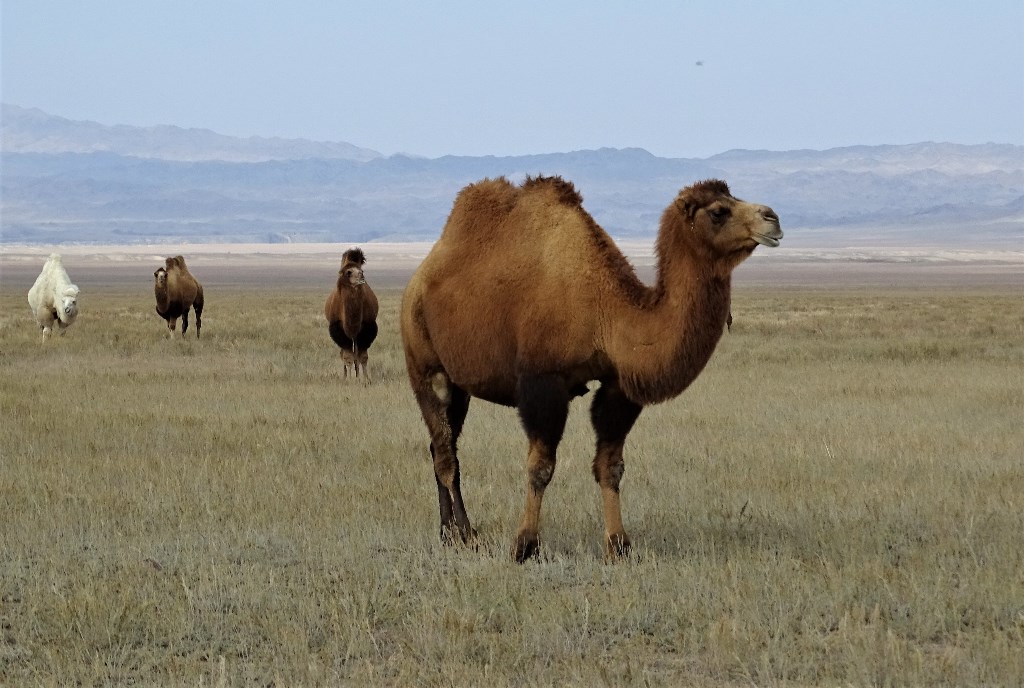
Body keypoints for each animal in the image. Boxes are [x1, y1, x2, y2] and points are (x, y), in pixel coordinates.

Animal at [323, 247, 380, 378]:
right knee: (345, 354)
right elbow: (348, 357)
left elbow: (362, 357)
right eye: (348, 272)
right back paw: (345, 376)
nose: (361, 276)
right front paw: (349, 379)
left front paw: (365, 379)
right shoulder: (338, 328)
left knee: (356, 355)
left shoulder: (367, 327)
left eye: (361, 271)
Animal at [399, 175, 782, 561]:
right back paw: (467, 534)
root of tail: (419, 279)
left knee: (442, 446)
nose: (773, 218)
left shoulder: (617, 384)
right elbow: (540, 466)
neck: (605, 312)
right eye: (719, 211)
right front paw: (525, 545)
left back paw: (449, 533)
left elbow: (610, 466)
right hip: (423, 363)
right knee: (445, 453)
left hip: (458, 384)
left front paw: (619, 545)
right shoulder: (543, 382)